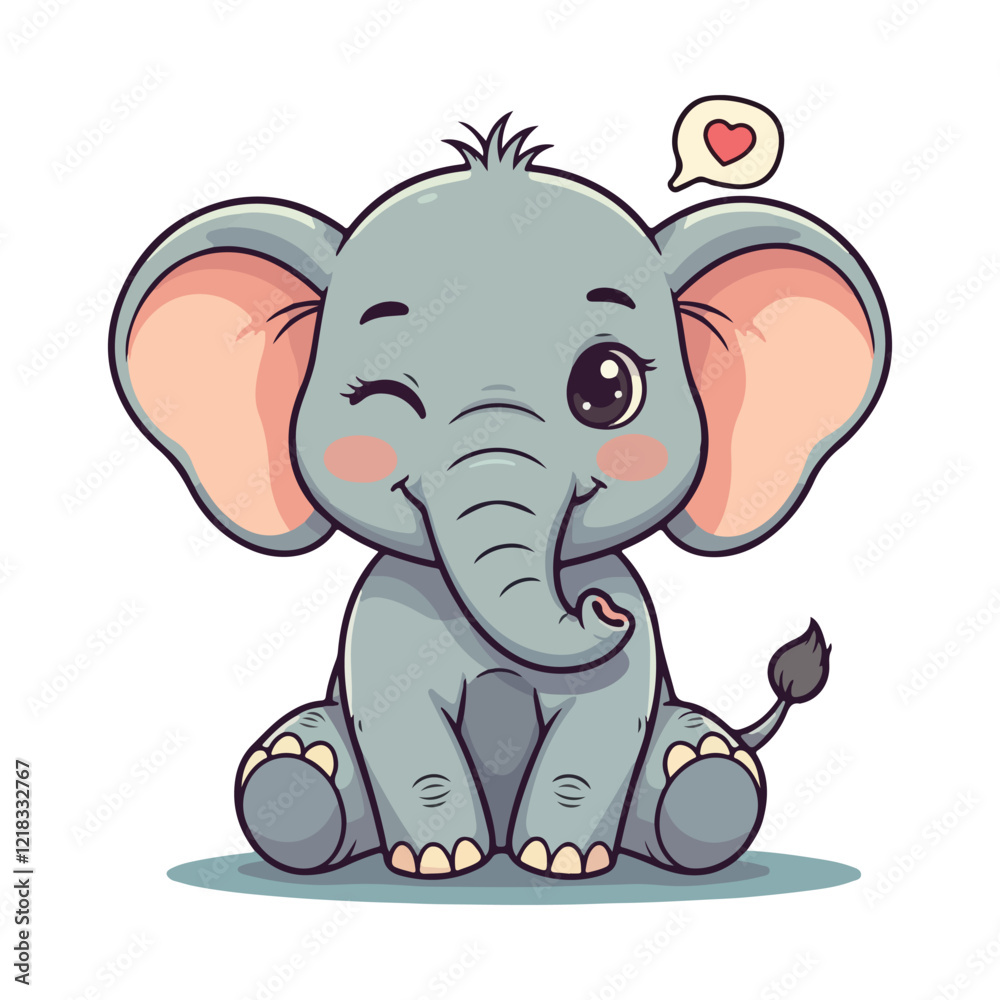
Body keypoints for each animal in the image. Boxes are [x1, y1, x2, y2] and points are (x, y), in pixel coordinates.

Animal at [109, 115, 888, 880]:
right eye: (384, 395)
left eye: (607, 386)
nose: (596, 609)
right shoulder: (387, 616)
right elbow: (398, 725)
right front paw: (439, 862)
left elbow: (602, 725)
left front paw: (562, 862)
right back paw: (296, 777)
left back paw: (704, 776)